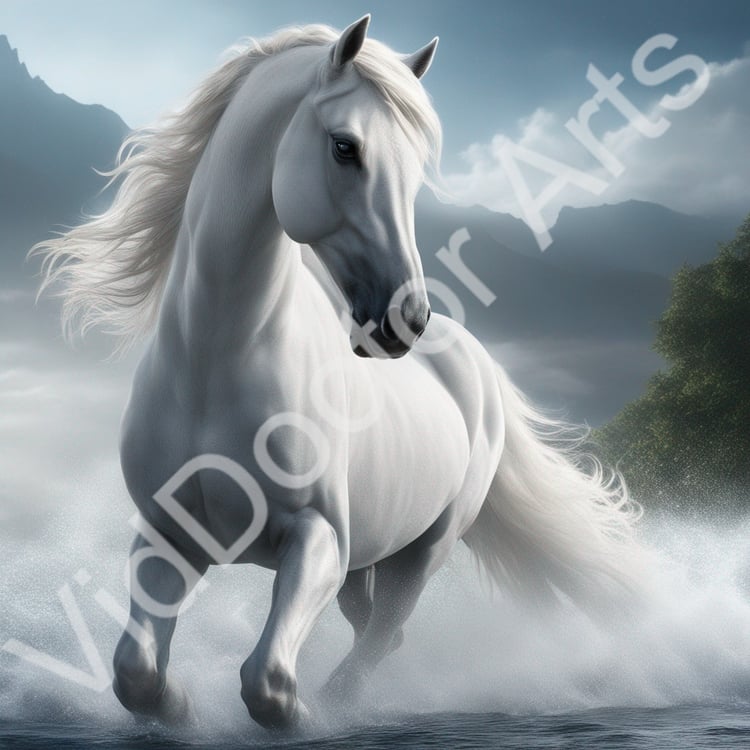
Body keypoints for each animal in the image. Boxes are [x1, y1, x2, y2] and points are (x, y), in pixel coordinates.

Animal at [35, 15, 644, 730]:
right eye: (346, 147)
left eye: (414, 171)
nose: (405, 319)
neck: (218, 362)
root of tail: (479, 367)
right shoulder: (168, 535)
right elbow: (135, 671)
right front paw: (176, 707)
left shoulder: (318, 538)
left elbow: (268, 682)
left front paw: (298, 716)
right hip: (368, 558)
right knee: (377, 629)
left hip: (425, 548)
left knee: (384, 633)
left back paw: (345, 702)